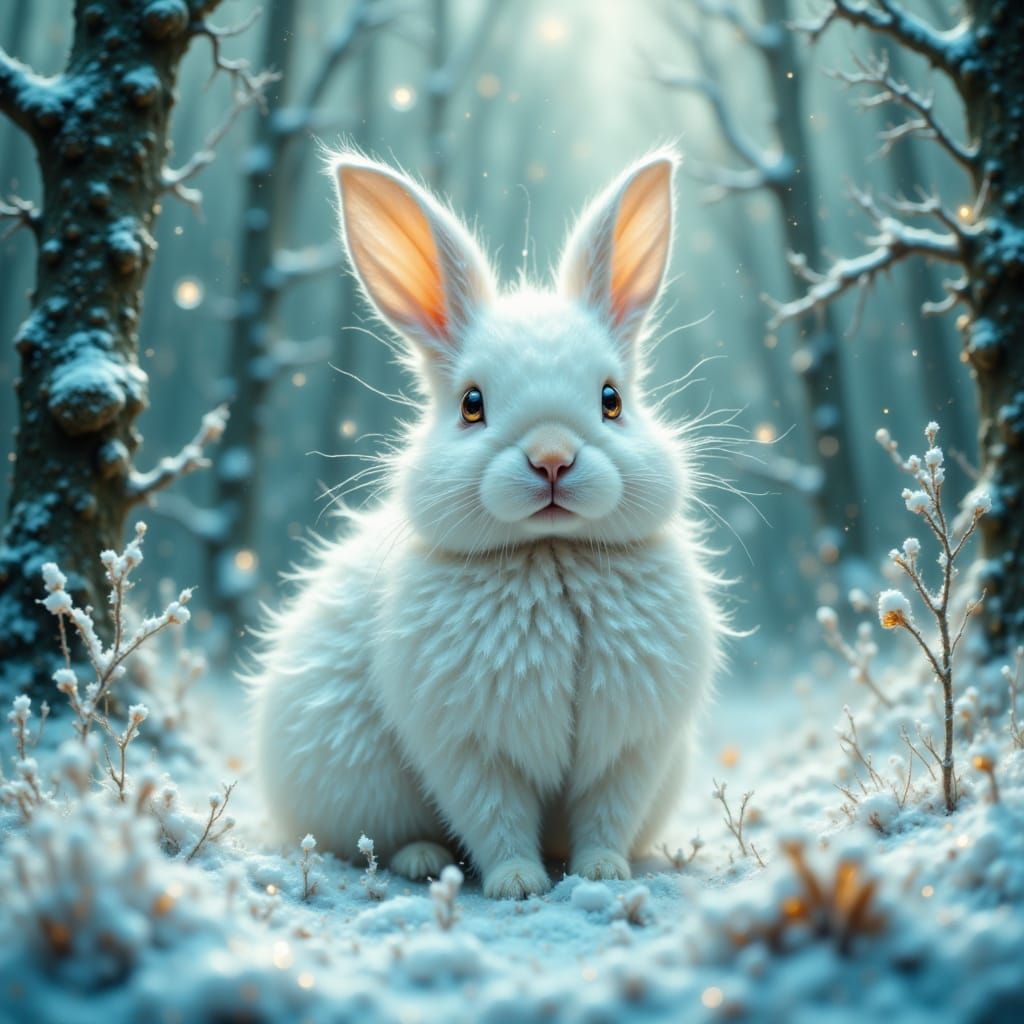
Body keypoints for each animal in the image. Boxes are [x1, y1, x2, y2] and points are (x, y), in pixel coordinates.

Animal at [250, 148, 725, 900]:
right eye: (471, 404)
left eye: (612, 399)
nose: (553, 458)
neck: (552, 552)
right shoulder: (470, 747)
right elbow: (494, 816)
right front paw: (518, 884)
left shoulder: (628, 747)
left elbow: (605, 814)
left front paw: (603, 871)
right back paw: (420, 860)